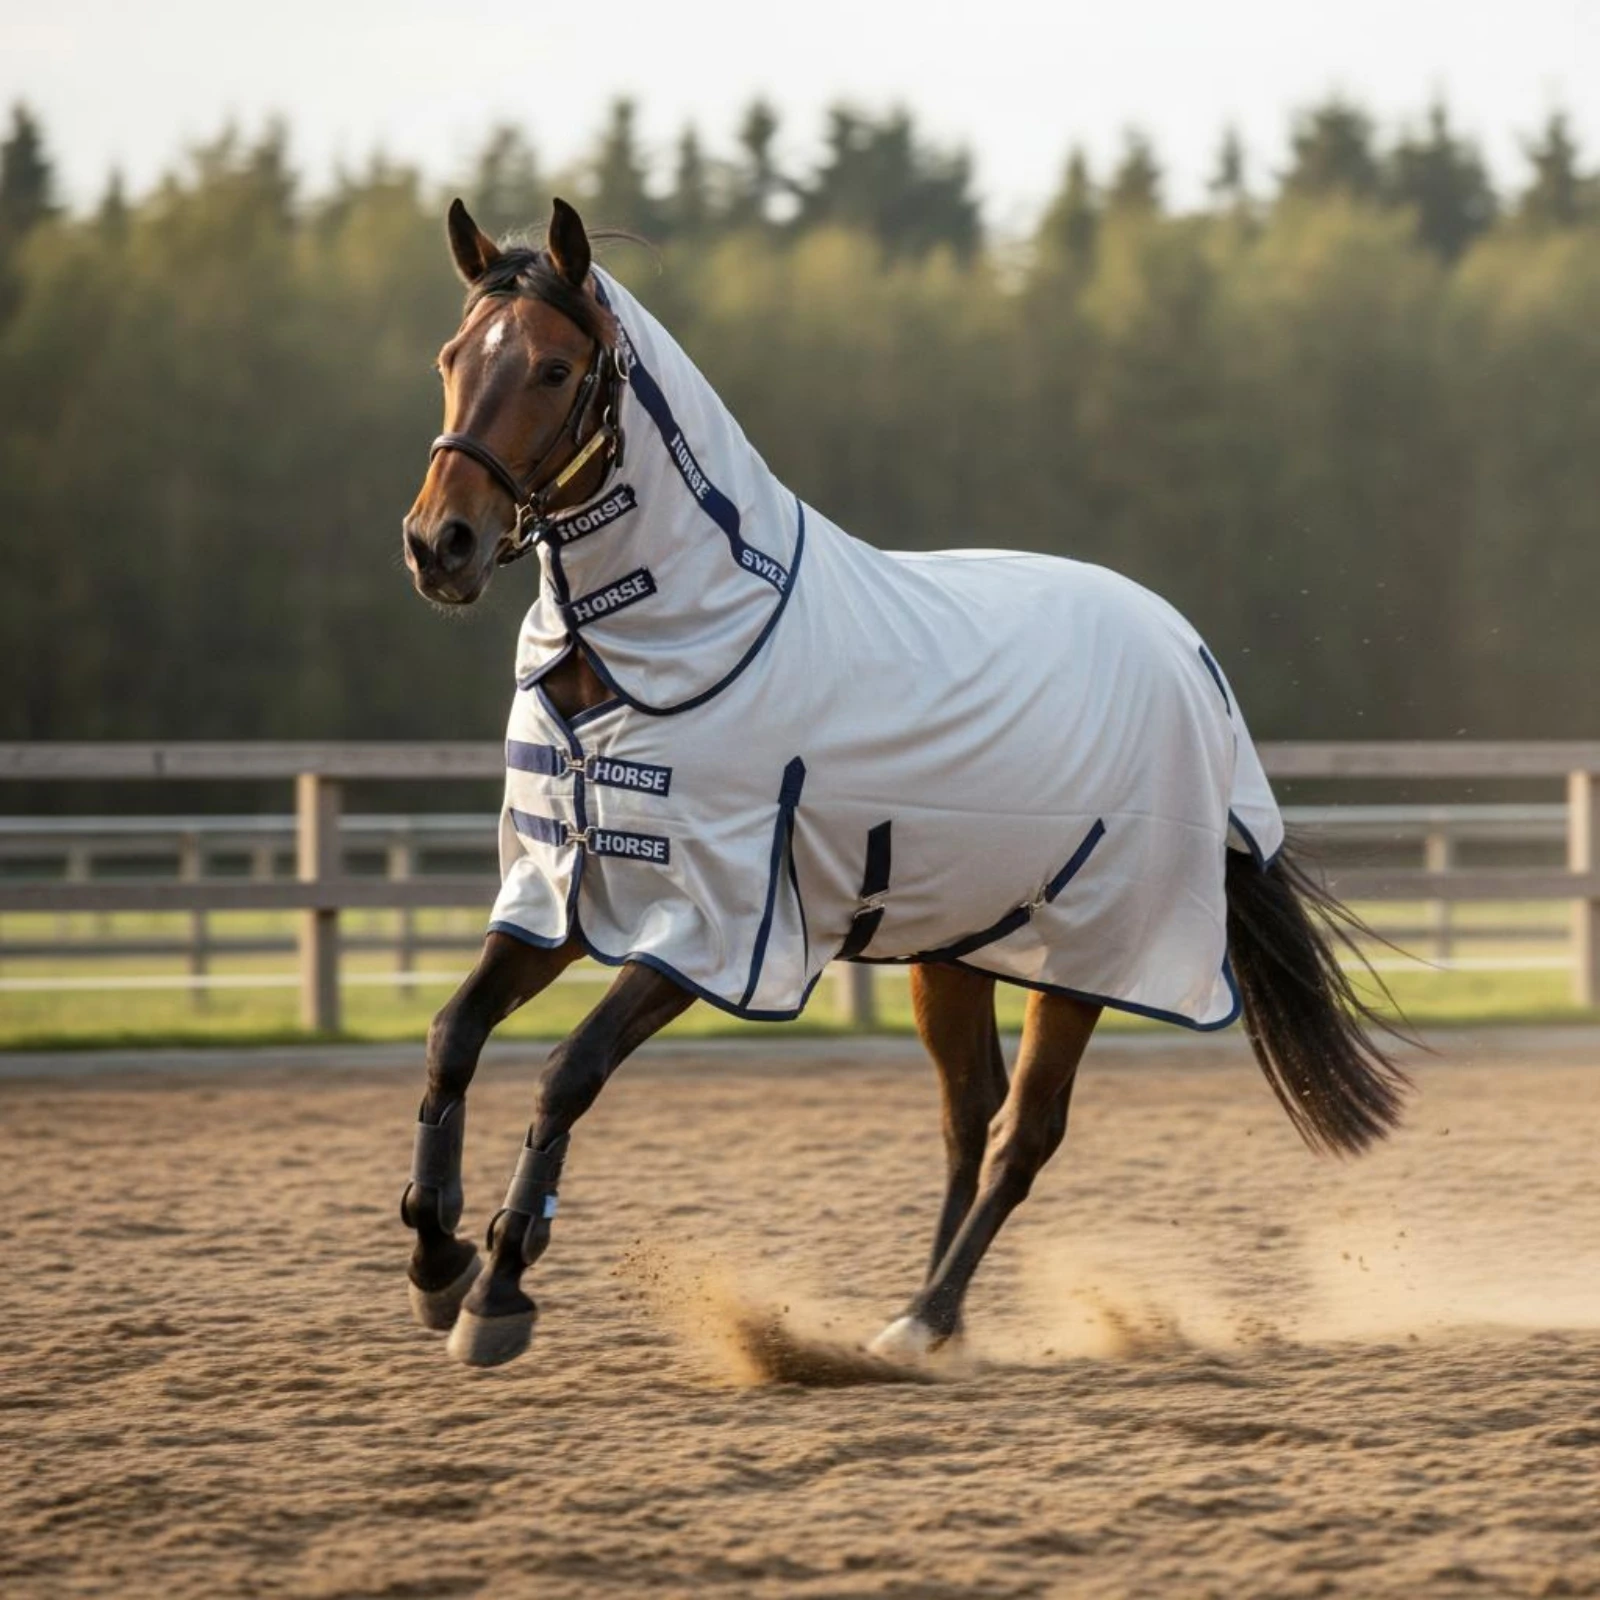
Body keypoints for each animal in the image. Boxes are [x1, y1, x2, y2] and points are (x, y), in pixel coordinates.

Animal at [399, 197, 1407, 1371]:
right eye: (452, 358)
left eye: (555, 370)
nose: (440, 544)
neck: (672, 642)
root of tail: (1191, 659)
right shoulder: (559, 891)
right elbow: (452, 1036)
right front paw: (437, 1259)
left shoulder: (709, 923)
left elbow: (568, 1070)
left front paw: (498, 1288)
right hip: (954, 942)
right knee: (967, 1119)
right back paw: (920, 1319)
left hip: (1089, 953)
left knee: (1023, 1132)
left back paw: (927, 1317)